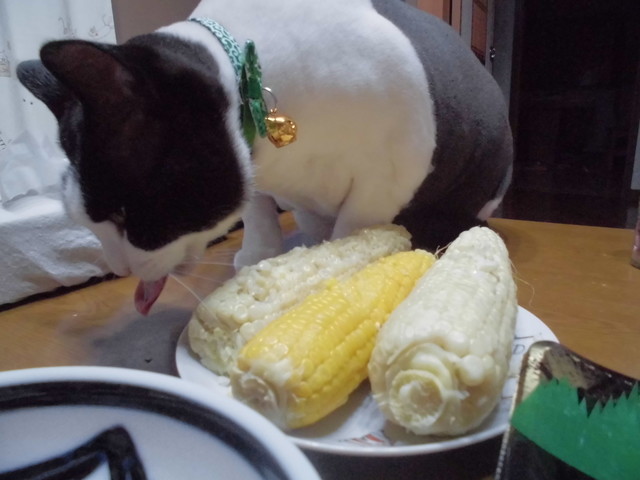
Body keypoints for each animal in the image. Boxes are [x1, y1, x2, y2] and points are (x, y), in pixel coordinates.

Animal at [17, 0, 512, 314]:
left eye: (123, 213)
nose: (119, 268)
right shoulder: (254, 169)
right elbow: (256, 211)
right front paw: (260, 256)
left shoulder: (385, 177)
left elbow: (353, 232)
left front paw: (342, 265)